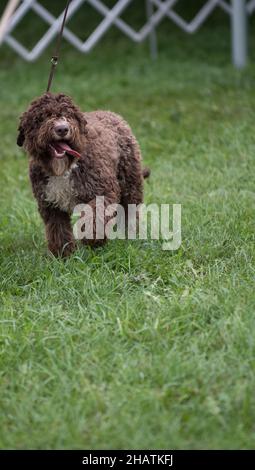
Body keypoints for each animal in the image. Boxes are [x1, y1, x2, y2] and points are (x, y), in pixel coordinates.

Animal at [17, 92, 149, 258]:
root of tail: (111, 114)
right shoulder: (50, 204)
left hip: (130, 183)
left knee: (130, 212)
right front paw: (63, 255)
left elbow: (94, 216)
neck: (64, 169)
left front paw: (92, 239)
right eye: (42, 117)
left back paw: (131, 235)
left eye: (68, 115)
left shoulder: (102, 192)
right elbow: (58, 230)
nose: (62, 129)